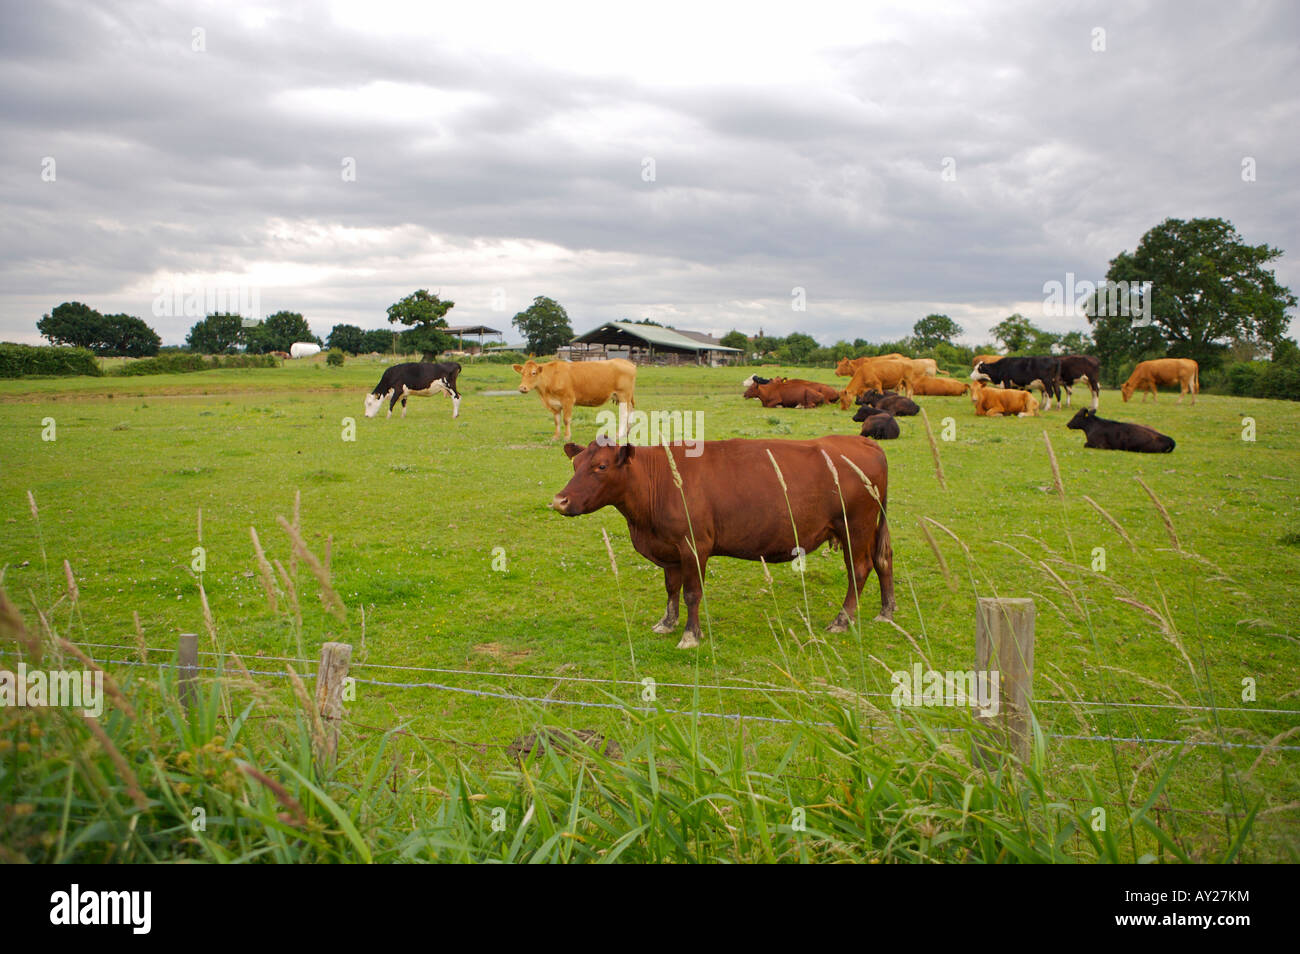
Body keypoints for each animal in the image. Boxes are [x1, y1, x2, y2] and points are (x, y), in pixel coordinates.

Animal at [509, 358, 637, 441]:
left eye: (534, 373)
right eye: (522, 373)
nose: (522, 388)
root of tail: (626, 362)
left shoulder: (568, 400)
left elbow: (566, 420)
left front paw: (567, 437)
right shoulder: (554, 404)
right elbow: (557, 421)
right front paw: (555, 437)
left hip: (623, 395)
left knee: (624, 414)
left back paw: (619, 435)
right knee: (630, 411)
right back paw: (627, 433)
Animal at [548, 434, 894, 647]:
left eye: (601, 466)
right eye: (575, 465)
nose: (560, 500)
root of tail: (862, 441)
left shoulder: (694, 545)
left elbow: (692, 593)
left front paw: (691, 635)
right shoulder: (669, 549)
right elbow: (671, 589)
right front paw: (667, 622)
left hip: (855, 527)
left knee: (859, 569)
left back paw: (842, 620)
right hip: (869, 528)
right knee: (883, 560)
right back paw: (886, 611)